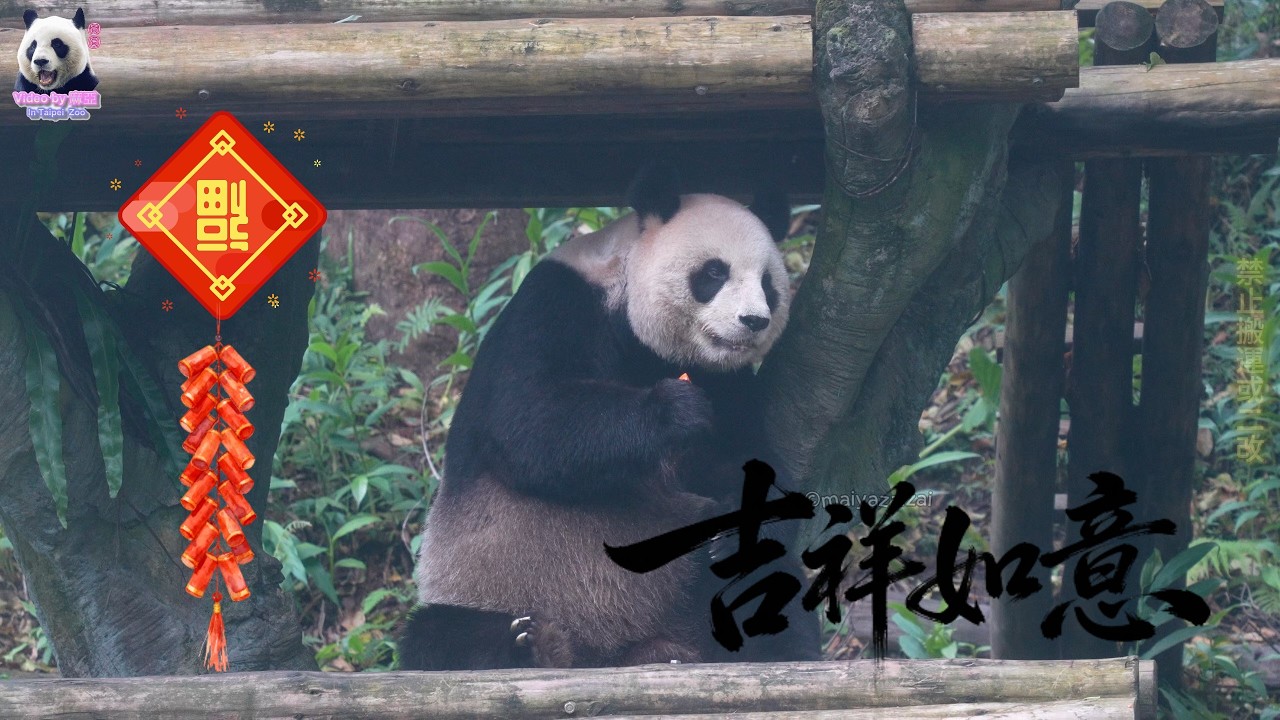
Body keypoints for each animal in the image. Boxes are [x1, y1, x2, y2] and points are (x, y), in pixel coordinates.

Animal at [398, 166, 819, 670]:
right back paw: (530, 645)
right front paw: (676, 410)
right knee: (438, 636)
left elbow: (746, 459)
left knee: (766, 585)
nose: (754, 321)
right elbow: (529, 419)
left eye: (768, 284)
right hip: (490, 586)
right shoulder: (556, 305)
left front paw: (736, 528)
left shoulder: (730, 382)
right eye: (715, 272)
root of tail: (613, 655)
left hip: (682, 590)